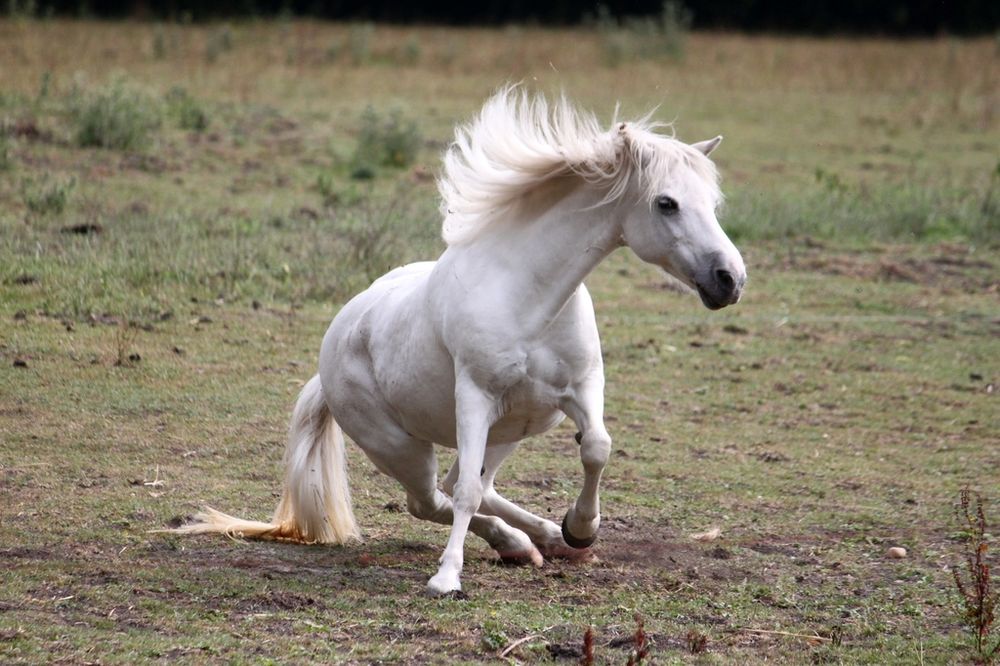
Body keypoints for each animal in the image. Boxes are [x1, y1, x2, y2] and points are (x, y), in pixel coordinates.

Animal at [167, 87, 747, 595]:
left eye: (712, 200)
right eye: (666, 203)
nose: (730, 279)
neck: (528, 295)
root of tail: (330, 355)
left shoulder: (583, 387)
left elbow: (597, 449)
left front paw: (580, 528)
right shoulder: (474, 397)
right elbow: (466, 493)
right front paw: (447, 577)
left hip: (509, 430)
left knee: (468, 487)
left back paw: (544, 539)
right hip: (401, 445)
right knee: (434, 498)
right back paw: (515, 543)